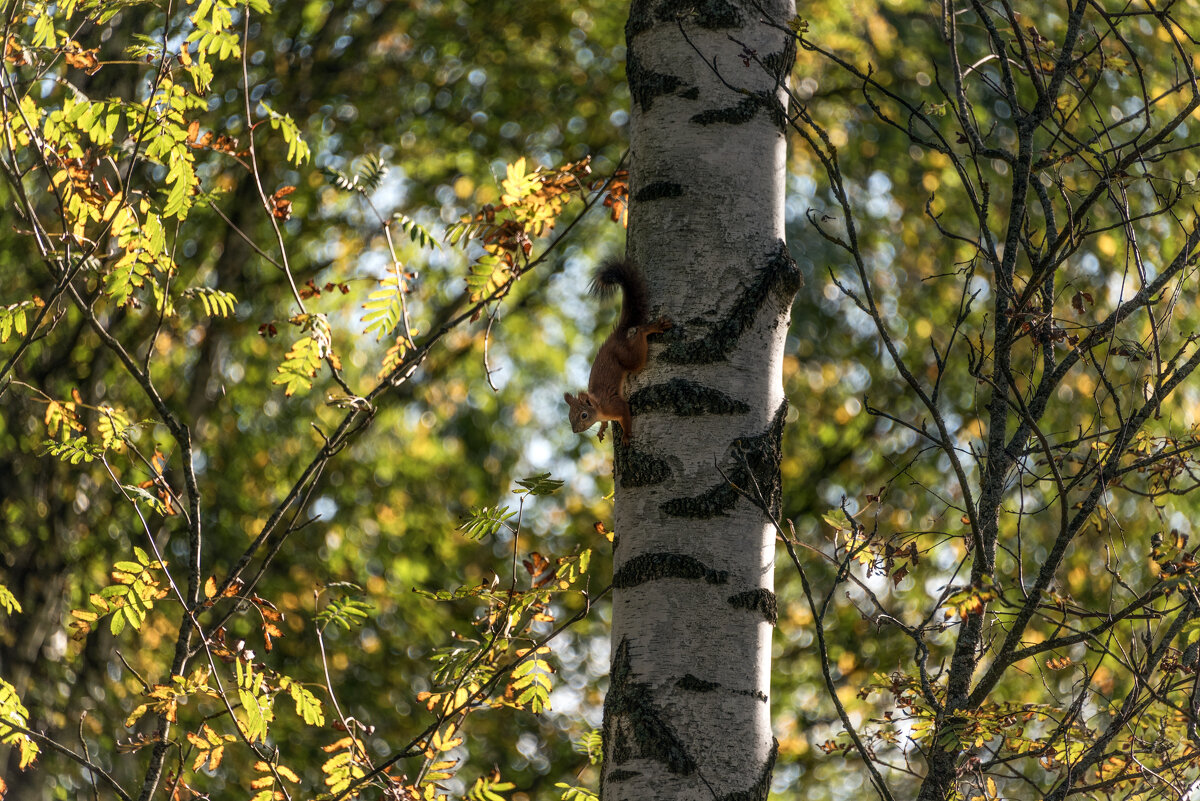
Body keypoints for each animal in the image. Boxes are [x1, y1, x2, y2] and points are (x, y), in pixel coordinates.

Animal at [564, 260, 672, 441]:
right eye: (569, 416)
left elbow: (625, 415)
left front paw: (626, 436)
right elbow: (604, 422)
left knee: (639, 334)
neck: (599, 408)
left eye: (584, 415)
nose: (574, 431)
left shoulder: (615, 405)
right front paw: (602, 428)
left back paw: (652, 328)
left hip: (631, 359)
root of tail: (615, 336)